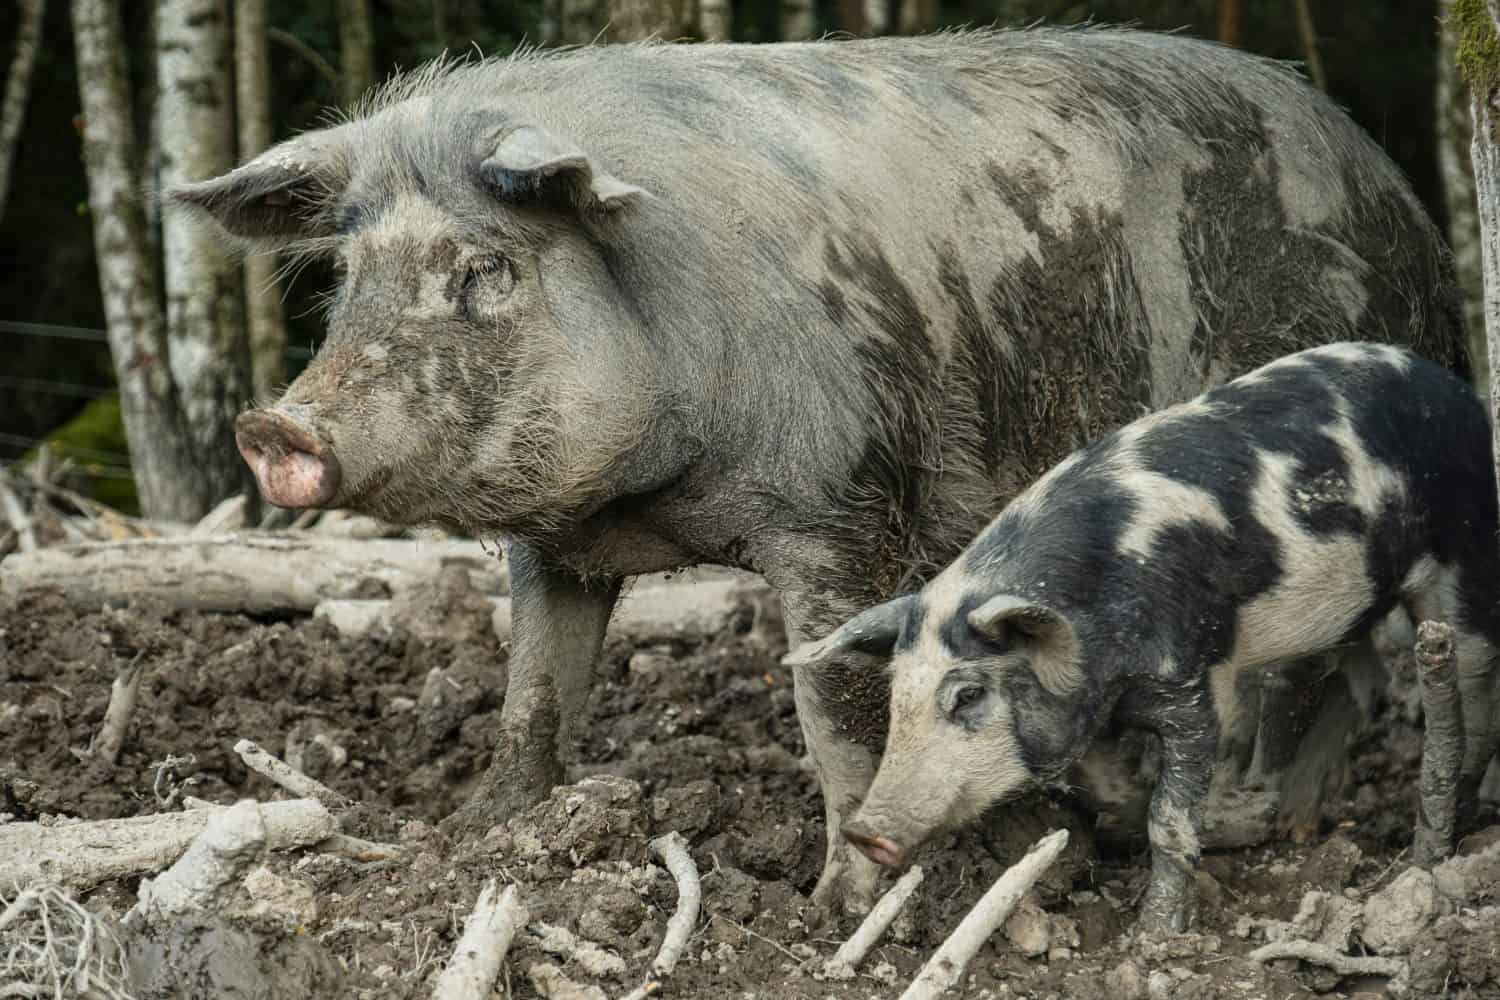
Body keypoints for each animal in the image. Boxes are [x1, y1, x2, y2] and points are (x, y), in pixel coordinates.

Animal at [786, 343, 1500, 933]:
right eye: (894, 696)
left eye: (966, 695)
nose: (867, 830)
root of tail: (1455, 389)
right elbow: (1107, 785)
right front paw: (1119, 824)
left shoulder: (1195, 681)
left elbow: (1173, 816)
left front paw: (1156, 933)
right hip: (1347, 607)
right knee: (1361, 679)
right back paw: (1295, 820)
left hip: (1464, 551)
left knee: (1472, 679)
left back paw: (1454, 817)